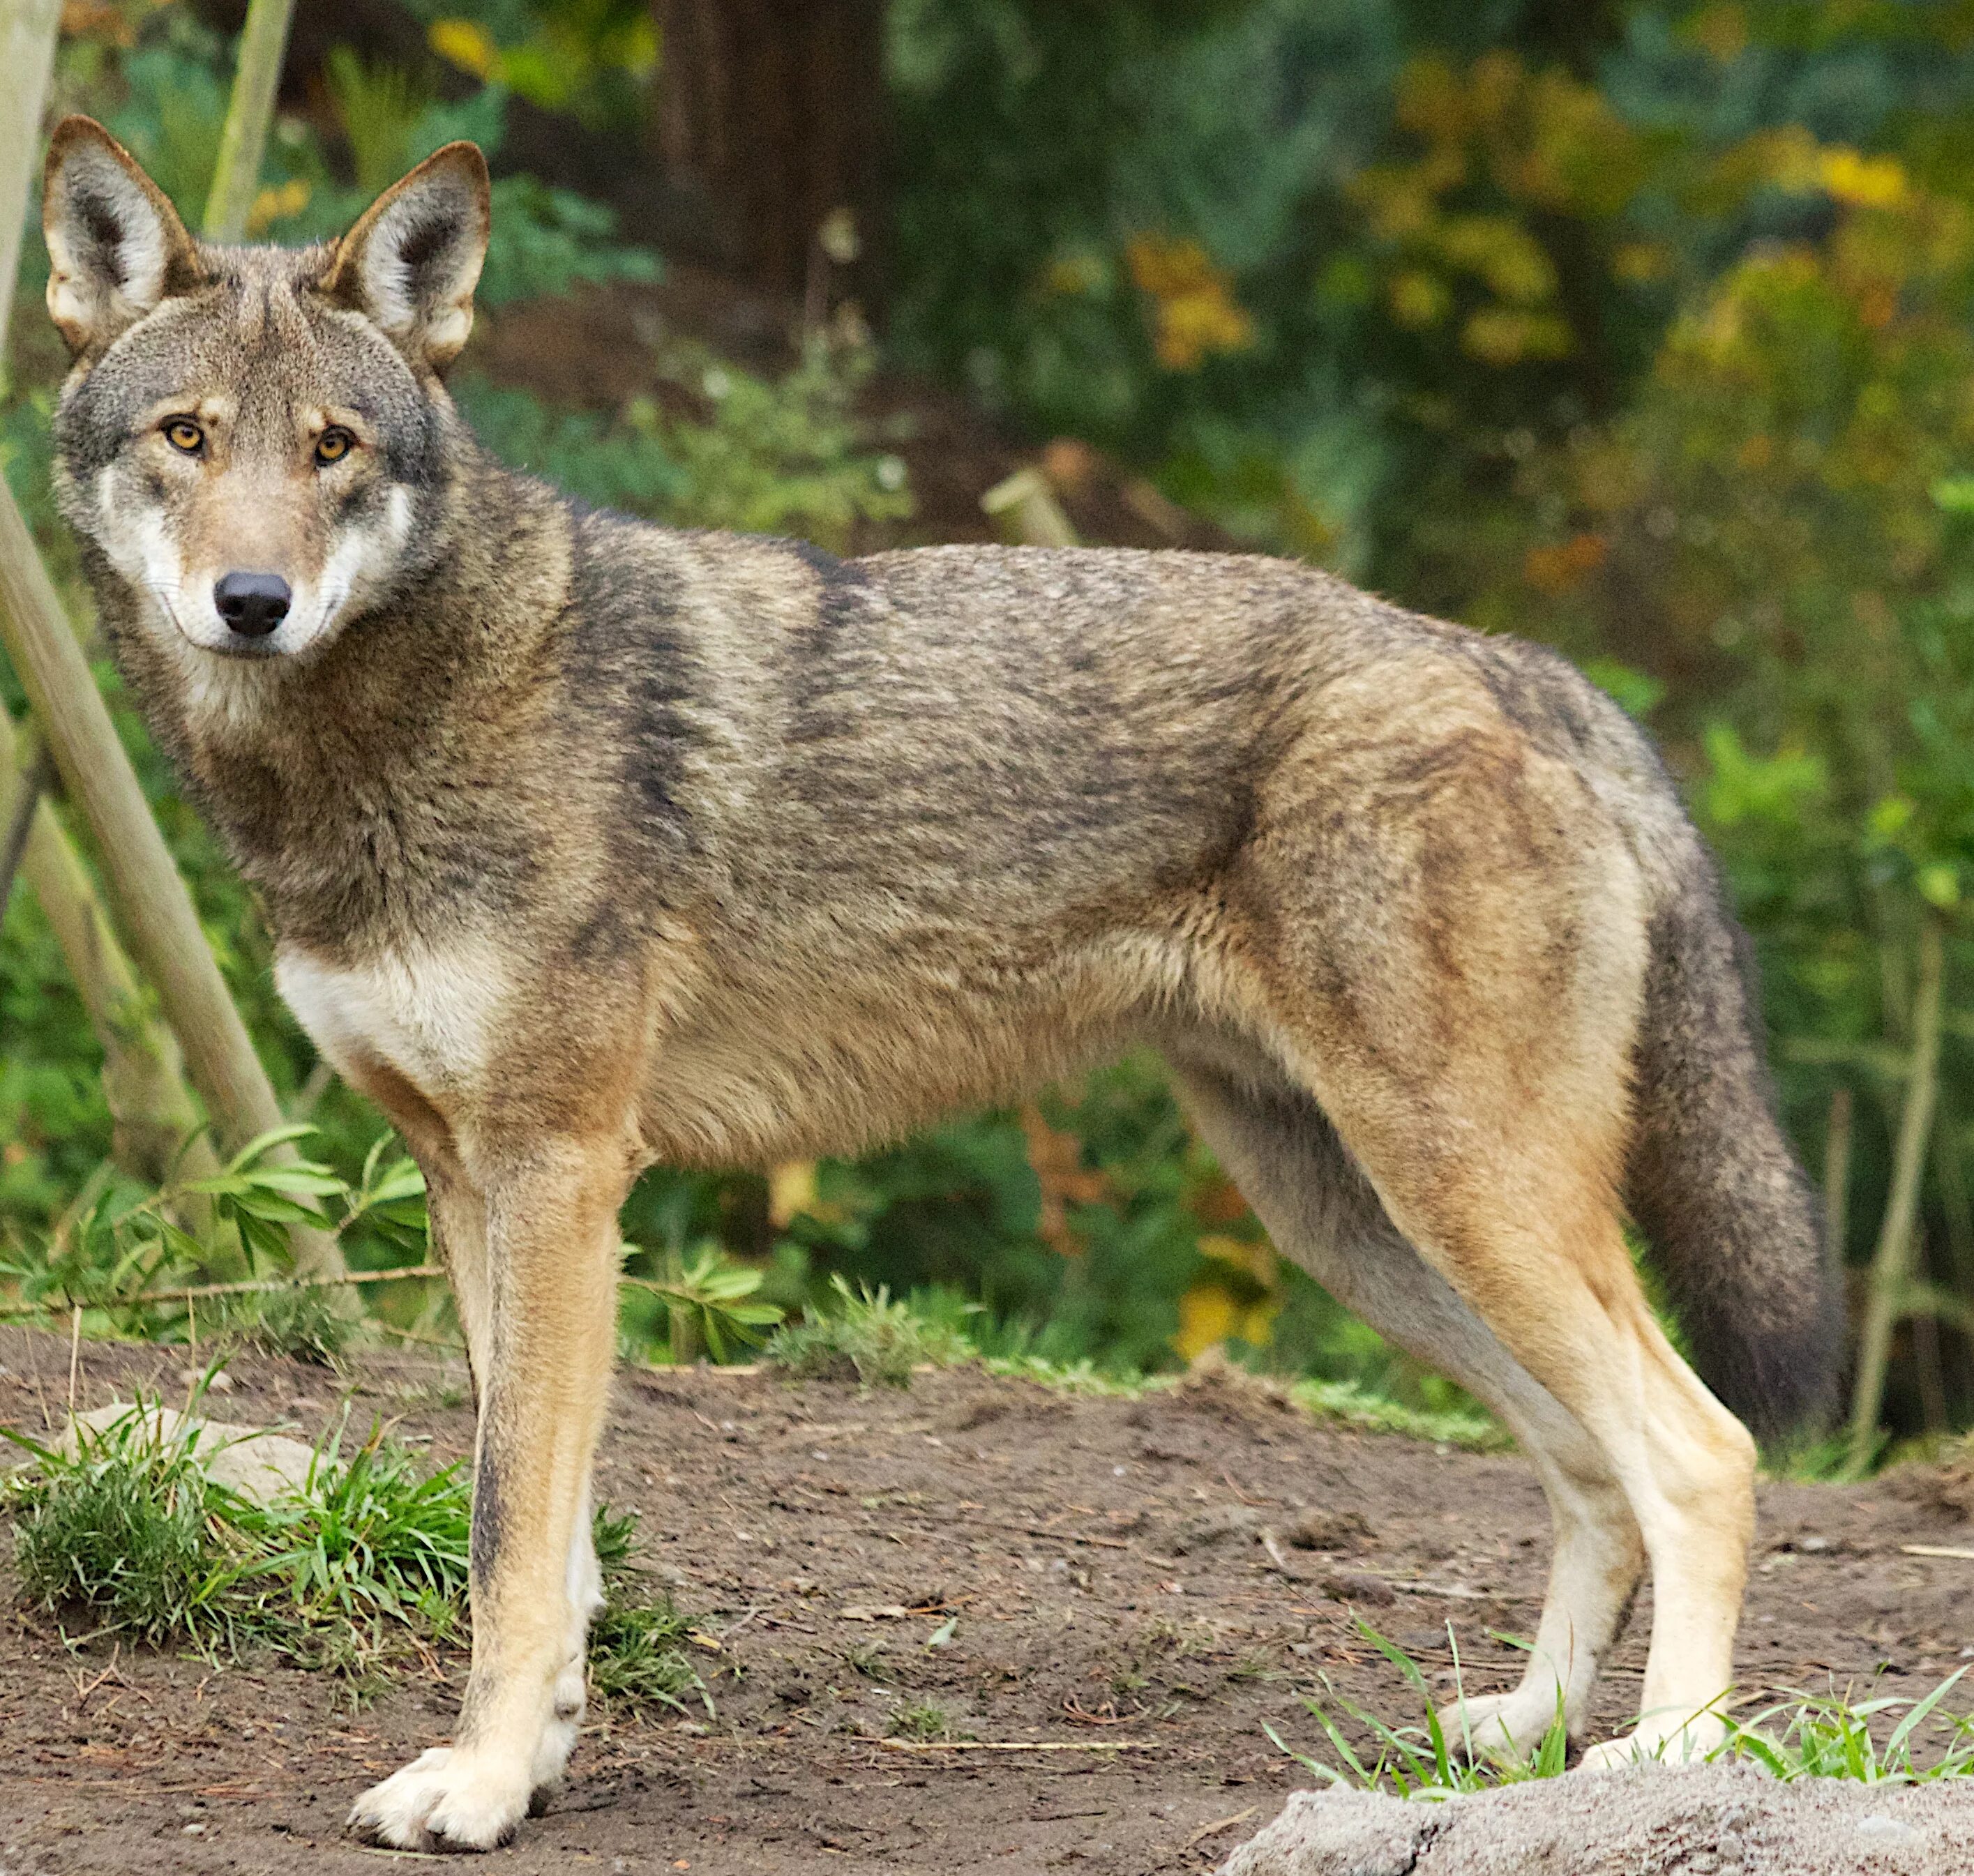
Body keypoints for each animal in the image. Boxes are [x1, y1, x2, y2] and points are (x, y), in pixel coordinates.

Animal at [42, 121, 1832, 1862]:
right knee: (1588, 1465)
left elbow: (506, 1532)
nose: (252, 603)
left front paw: (475, 1787)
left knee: (1703, 1451)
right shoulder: (469, 1179)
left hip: (1457, 1196)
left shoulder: (559, 1175)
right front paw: (531, 1758)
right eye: (189, 438)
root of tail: (1518, 667)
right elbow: (549, 1539)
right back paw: (1528, 1736)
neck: (404, 720)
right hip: (1361, 1221)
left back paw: (1670, 1754)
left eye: (333, 448)